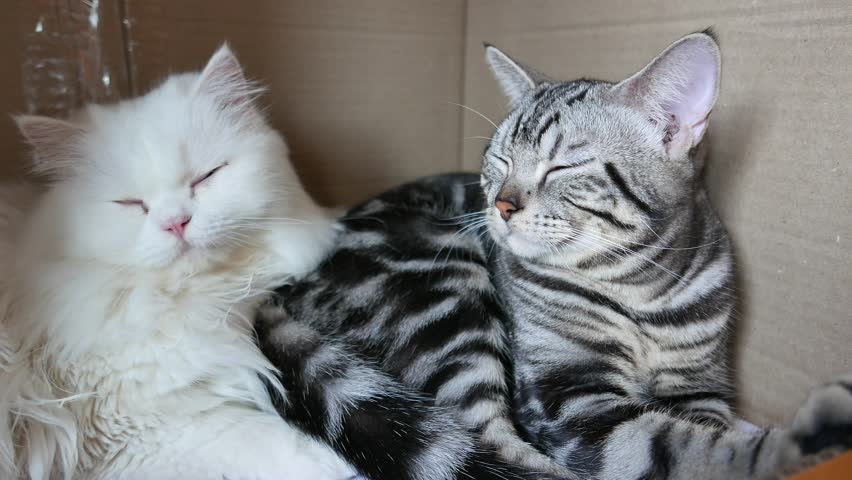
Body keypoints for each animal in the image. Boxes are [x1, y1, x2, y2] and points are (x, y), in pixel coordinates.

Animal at [480, 29, 852, 476]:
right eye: (499, 160)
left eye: (563, 166)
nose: (501, 205)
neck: (642, 292)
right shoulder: (569, 391)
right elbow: (688, 448)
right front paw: (791, 448)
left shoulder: (698, 386)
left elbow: (703, 434)